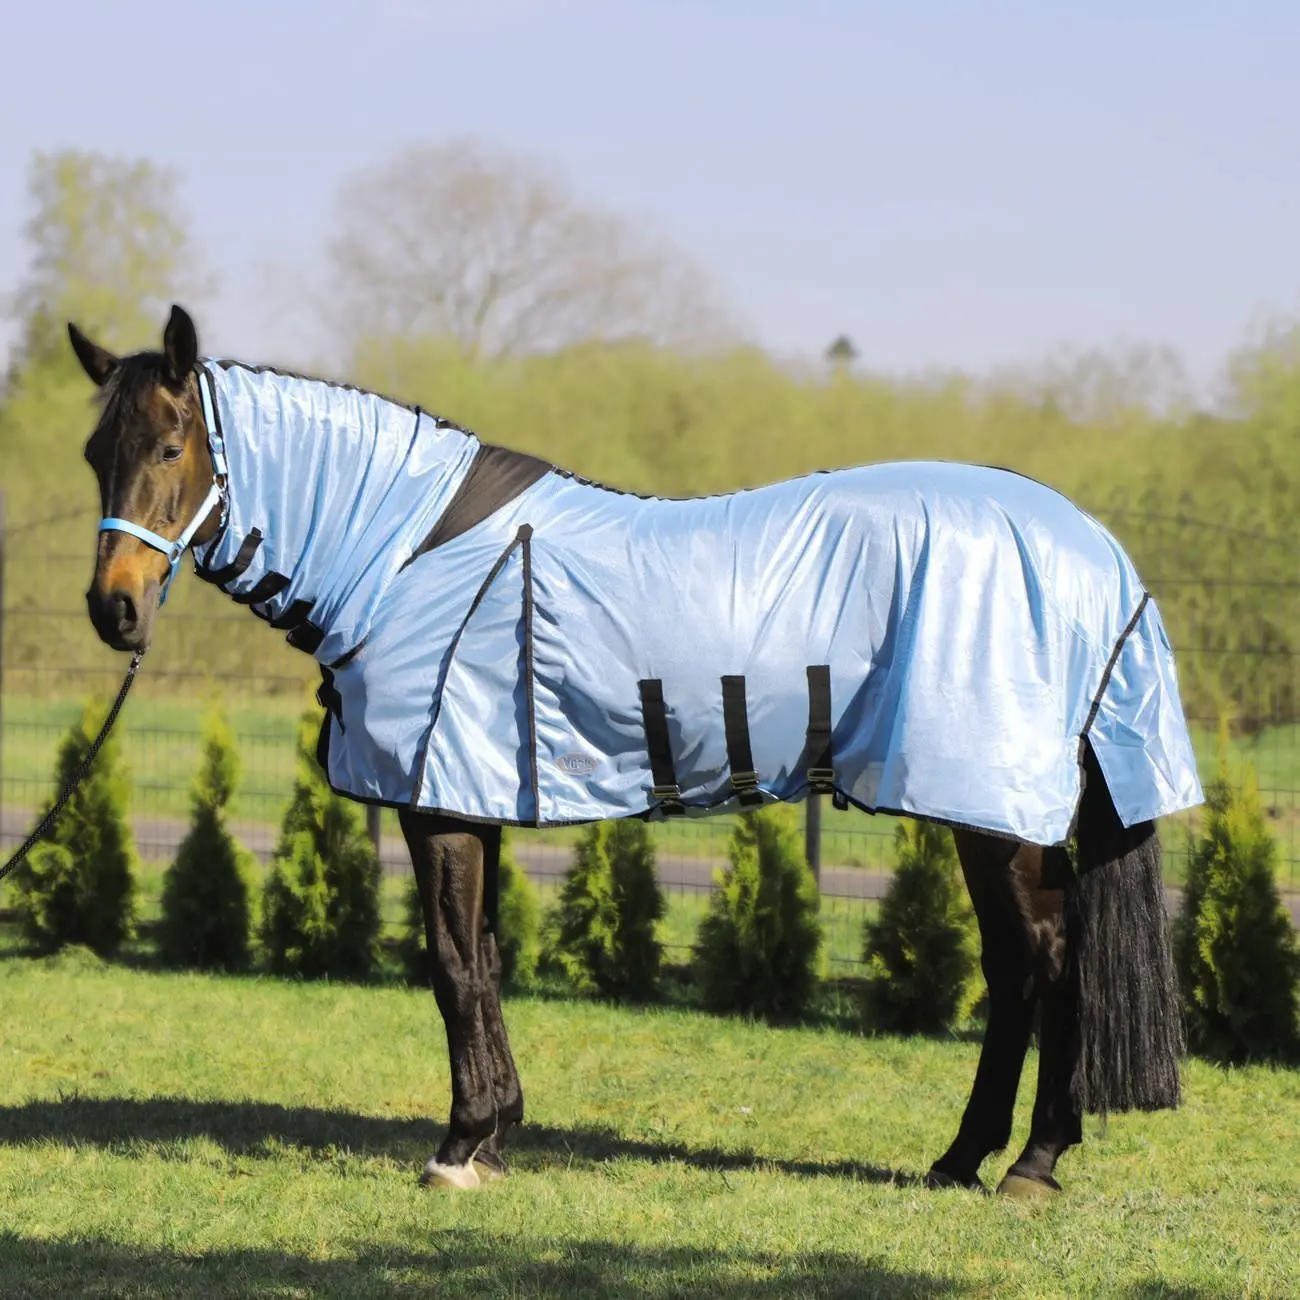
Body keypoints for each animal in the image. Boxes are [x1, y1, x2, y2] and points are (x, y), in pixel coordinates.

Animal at [71, 304, 1201, 1198]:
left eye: (170, 449)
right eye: (94, 457)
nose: (112, 611)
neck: (408, 553)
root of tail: (1098, 552)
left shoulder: (438, 805)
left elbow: (451, 966)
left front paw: (458, 1145)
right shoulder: (478, 800)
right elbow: (485, 959)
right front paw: (496, 1132)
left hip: (993, 816)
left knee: (1049, 960)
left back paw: (1031, 1164)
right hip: (977, 815)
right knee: (1015, 970)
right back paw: (961, 1158)